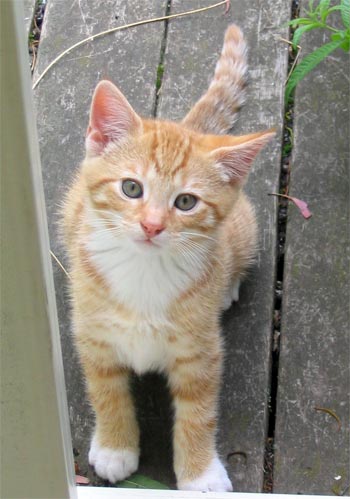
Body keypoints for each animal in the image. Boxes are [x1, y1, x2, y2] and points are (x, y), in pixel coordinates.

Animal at [63, 24, 276, 492]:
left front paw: (200, 473)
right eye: (131, 188)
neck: (144, 271)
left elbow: (198, 411)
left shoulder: (201, 351)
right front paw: (115, 446)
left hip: (243, 227)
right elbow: (105, 392)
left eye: (186, 201)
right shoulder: (92, 332)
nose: (152, 226)